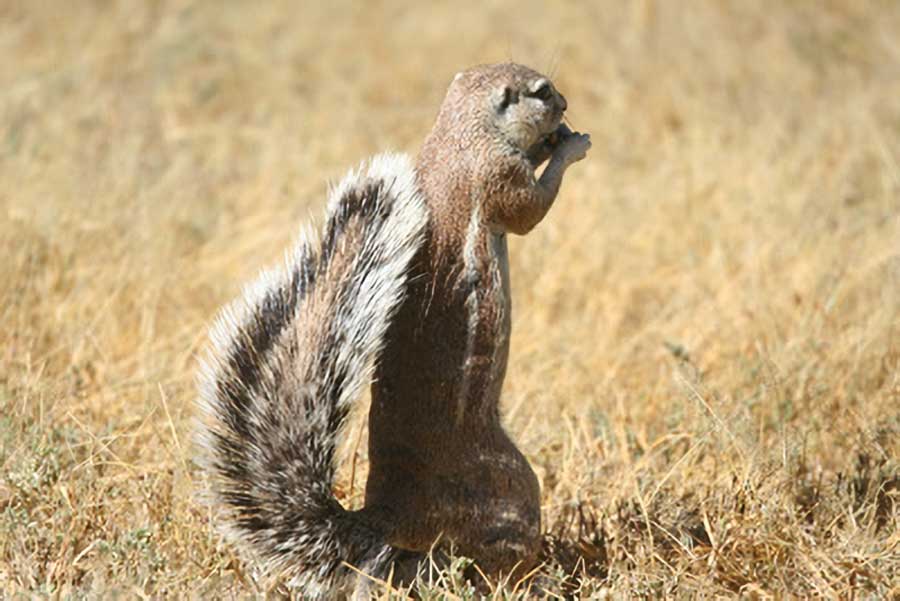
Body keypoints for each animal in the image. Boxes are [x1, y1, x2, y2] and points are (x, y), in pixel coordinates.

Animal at [195, 62, 592, 596]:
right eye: (542, 91)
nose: (566, 105)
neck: (459, 132)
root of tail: (385, 519)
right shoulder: (500, 176)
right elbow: (531, 209)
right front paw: (569, 147)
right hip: (512, 490)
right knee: (495, 562)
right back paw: (539, 580)